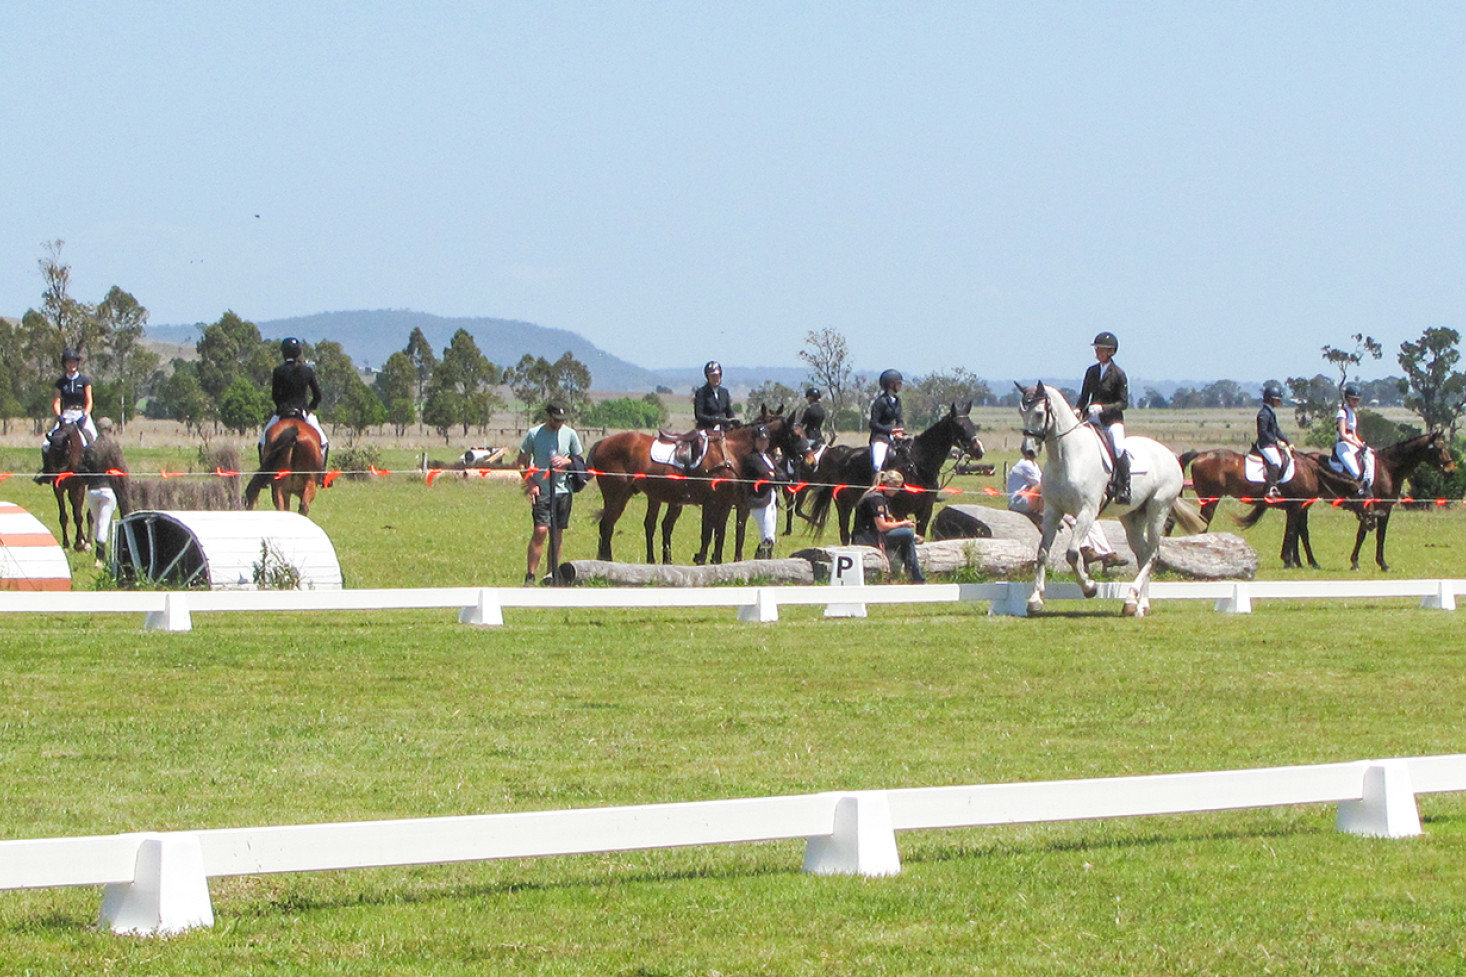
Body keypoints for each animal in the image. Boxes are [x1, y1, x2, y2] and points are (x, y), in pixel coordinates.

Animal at [803, 399, 985, 542]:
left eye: (972, 424)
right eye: (959, 425)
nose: (979, 451)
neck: (919, 465)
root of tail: (844, 456)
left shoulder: (925, 511)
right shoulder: (900, 510)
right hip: (844, 504)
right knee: (845, 533)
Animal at [1020, 381, 1202, 616]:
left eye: (1040, 413)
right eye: (1021, 412)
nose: (1028, 450)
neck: (1066, 457)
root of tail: (1171, 455)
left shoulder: (1087, 512)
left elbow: (1072, 553)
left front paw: (1089, 587)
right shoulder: (1053, 511)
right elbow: (1042, 553)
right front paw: (1035, 600)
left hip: (1158, 509)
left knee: (1153, 554)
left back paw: (1132, 600)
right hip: (1133, 517)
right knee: (1144, 554)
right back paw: (1138, 604)